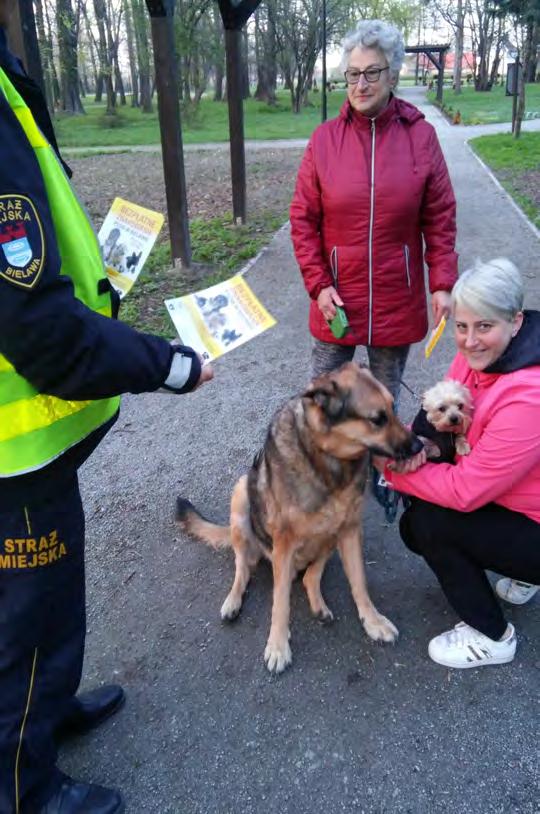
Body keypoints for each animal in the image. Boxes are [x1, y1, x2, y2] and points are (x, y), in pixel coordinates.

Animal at [177, 364, 422, 676]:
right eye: (377, 419)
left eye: (393, 407)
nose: (419, 446)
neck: (328, 458)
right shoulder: (284, 542)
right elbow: (280, 602)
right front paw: (278, 646)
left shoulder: (350, 530)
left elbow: (360, 583)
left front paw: (373, 621)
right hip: (242, 496)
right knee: (243, 567)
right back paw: (233, 600)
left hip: (328, 535)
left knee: (310, 576)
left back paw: (318, 604)